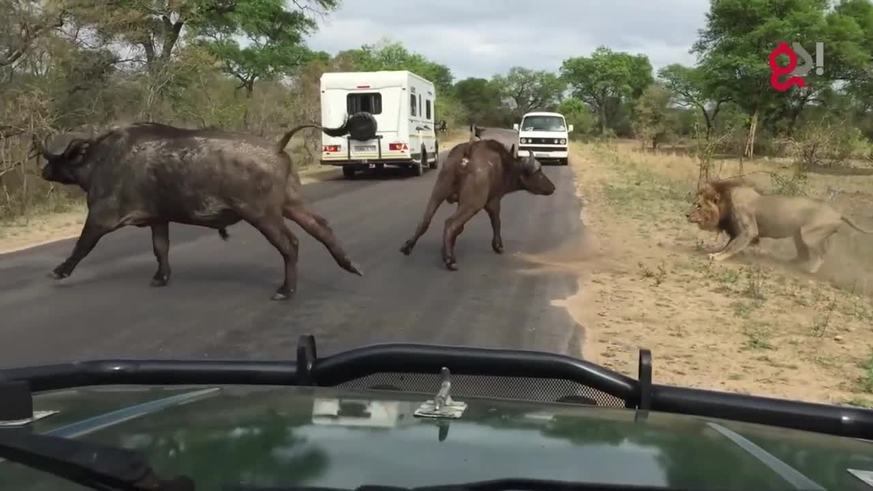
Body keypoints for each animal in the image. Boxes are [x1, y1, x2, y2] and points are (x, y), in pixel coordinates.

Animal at [684, 180, 868, 274]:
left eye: (698, 205)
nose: (686, 215)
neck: (725, 204)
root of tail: (838, 213)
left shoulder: (748, 231)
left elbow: (732, 247)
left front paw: (716, 256)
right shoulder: (737, 231)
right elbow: (729, 244)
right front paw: (715, 251)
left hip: (809, 235)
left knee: (822, 253)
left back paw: (811, 270)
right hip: (798, 234)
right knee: (805, 254)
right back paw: (790, 263)